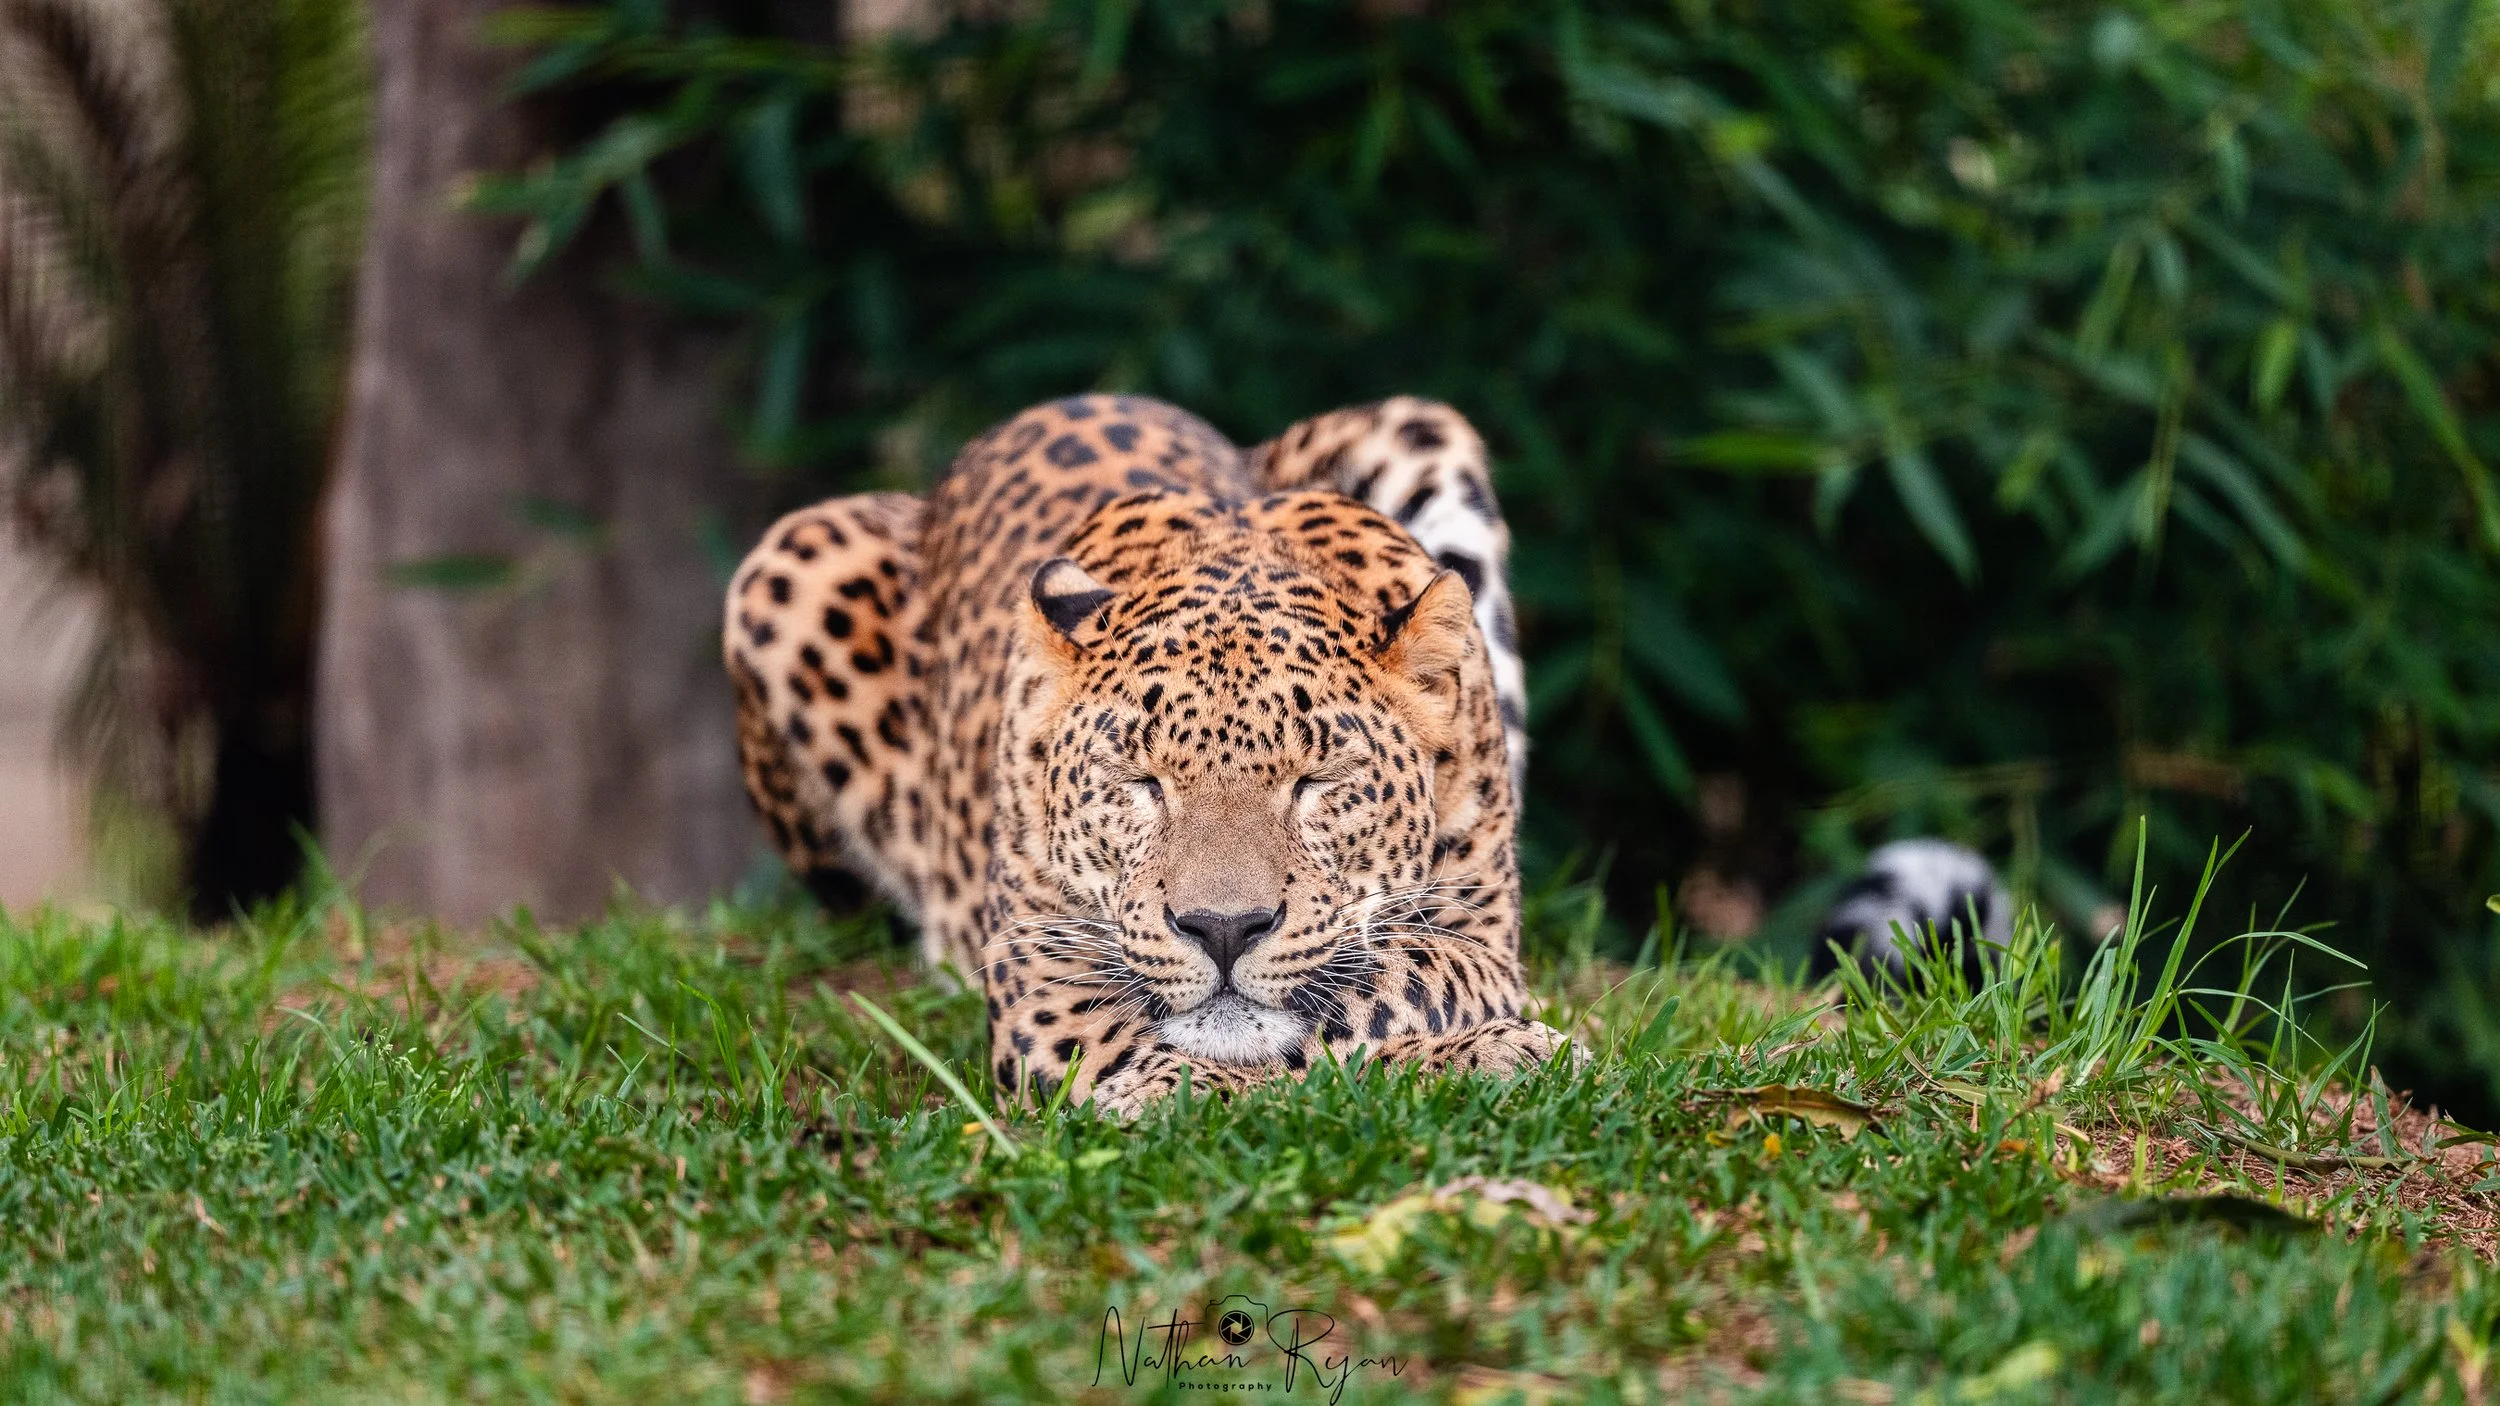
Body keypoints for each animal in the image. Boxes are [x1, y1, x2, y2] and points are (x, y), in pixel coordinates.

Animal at [723, 393, 1563, 1116]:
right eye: (1142, 782)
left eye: (1317, 781)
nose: (1223, 930)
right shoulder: (1042, 983)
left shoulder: (1484, 942)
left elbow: (1393, 982)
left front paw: (1500, 1046)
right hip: (788, 558)